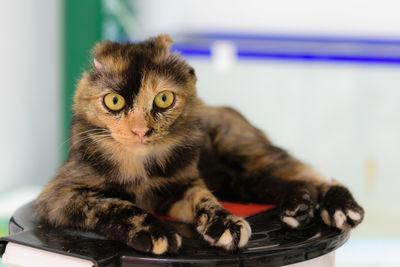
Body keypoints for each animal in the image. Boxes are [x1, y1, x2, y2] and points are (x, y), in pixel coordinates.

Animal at [34, 34, 364, 256]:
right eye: (114, 101)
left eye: (163, 98)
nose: (141, 130)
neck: (141, 166)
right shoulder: (58, 196)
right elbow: (116, 205)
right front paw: (155, 230)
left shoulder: (184, 184)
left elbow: (203, 198)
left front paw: (224, 223)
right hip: (233, 178)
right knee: (280, 183)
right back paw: (299, 206)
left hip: (244, 149)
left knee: (312, 176)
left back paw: (342, 208)